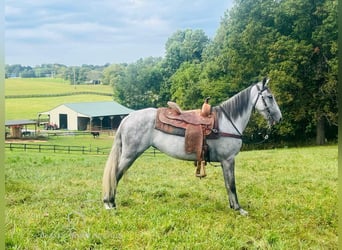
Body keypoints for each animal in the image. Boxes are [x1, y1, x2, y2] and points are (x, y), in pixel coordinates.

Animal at [103, 77, 282, 215]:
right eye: (270, 96)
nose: (279, 118)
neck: (227, 121)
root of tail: (128, 117)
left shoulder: (225, 162)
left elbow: (227, 184)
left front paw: (233, 206)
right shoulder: (228, 160)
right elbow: (232, 184)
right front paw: (239, 209)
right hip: (129, 155)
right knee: (116, 175)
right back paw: (109, 203)